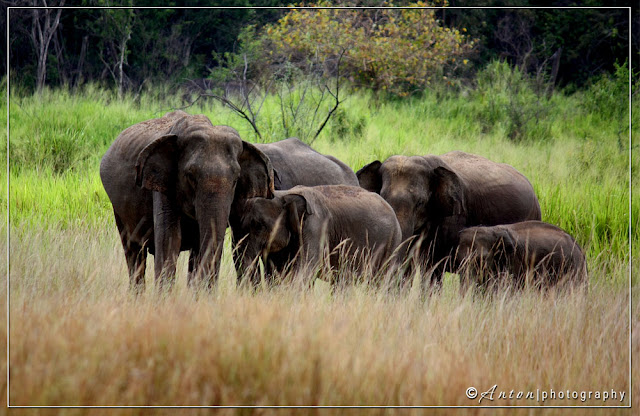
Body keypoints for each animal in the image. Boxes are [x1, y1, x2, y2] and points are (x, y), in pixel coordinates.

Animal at [99, 110, 274, 292]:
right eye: (190, 176)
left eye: (236, 180)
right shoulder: (164, 185)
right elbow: (170, 240)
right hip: (118, 208)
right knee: (133, 250)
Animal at [235, 185, 402, 290]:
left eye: (260, 226)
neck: (284, 194)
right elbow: (276, 273)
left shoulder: (316, 227)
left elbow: (304, 271)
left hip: (392, 243)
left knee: (381, 281)